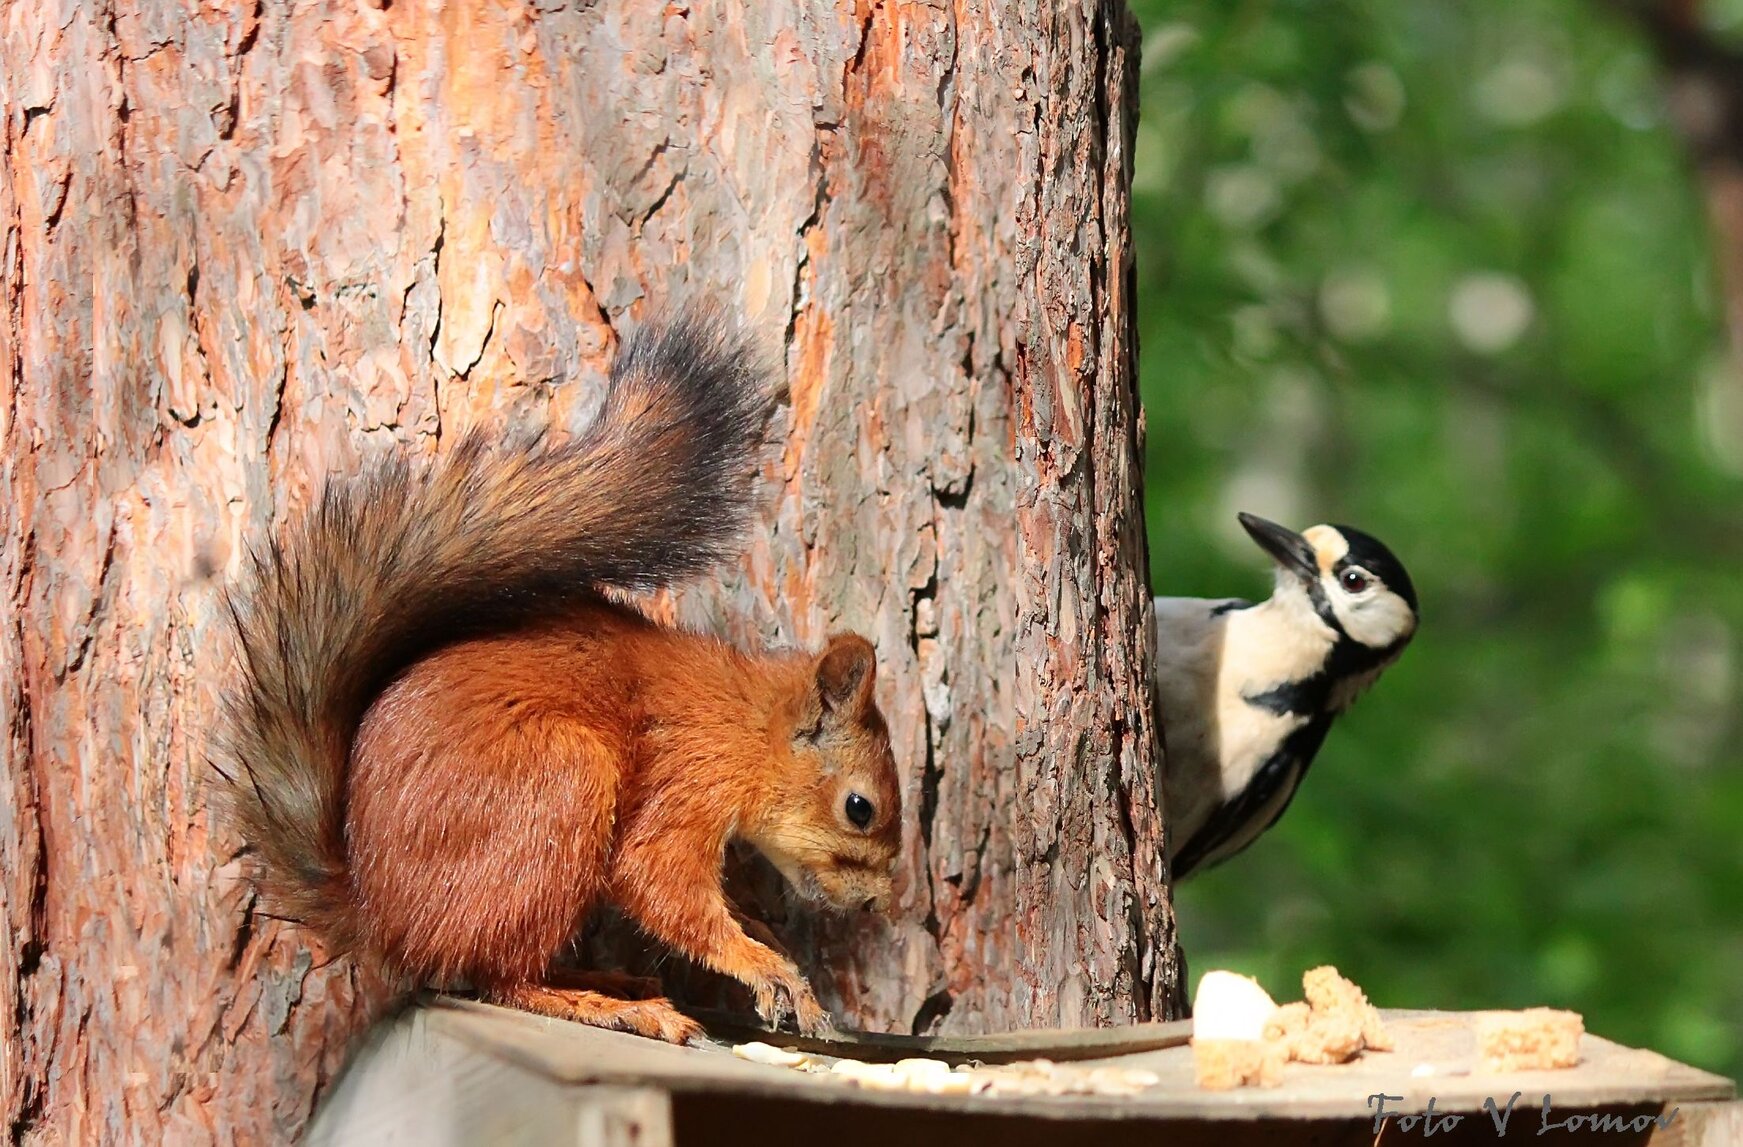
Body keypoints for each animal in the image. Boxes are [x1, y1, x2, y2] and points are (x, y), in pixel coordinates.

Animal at [210, 310, 906, 1038]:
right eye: (859, 808)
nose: (875, 904)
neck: (744, 724)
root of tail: (381, 918)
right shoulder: (687, 780)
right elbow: (658, 883)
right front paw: (767, 967)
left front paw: (774, 958)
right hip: (560, 787)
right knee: (500, 977)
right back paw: (611, 1005)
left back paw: (609, 980)